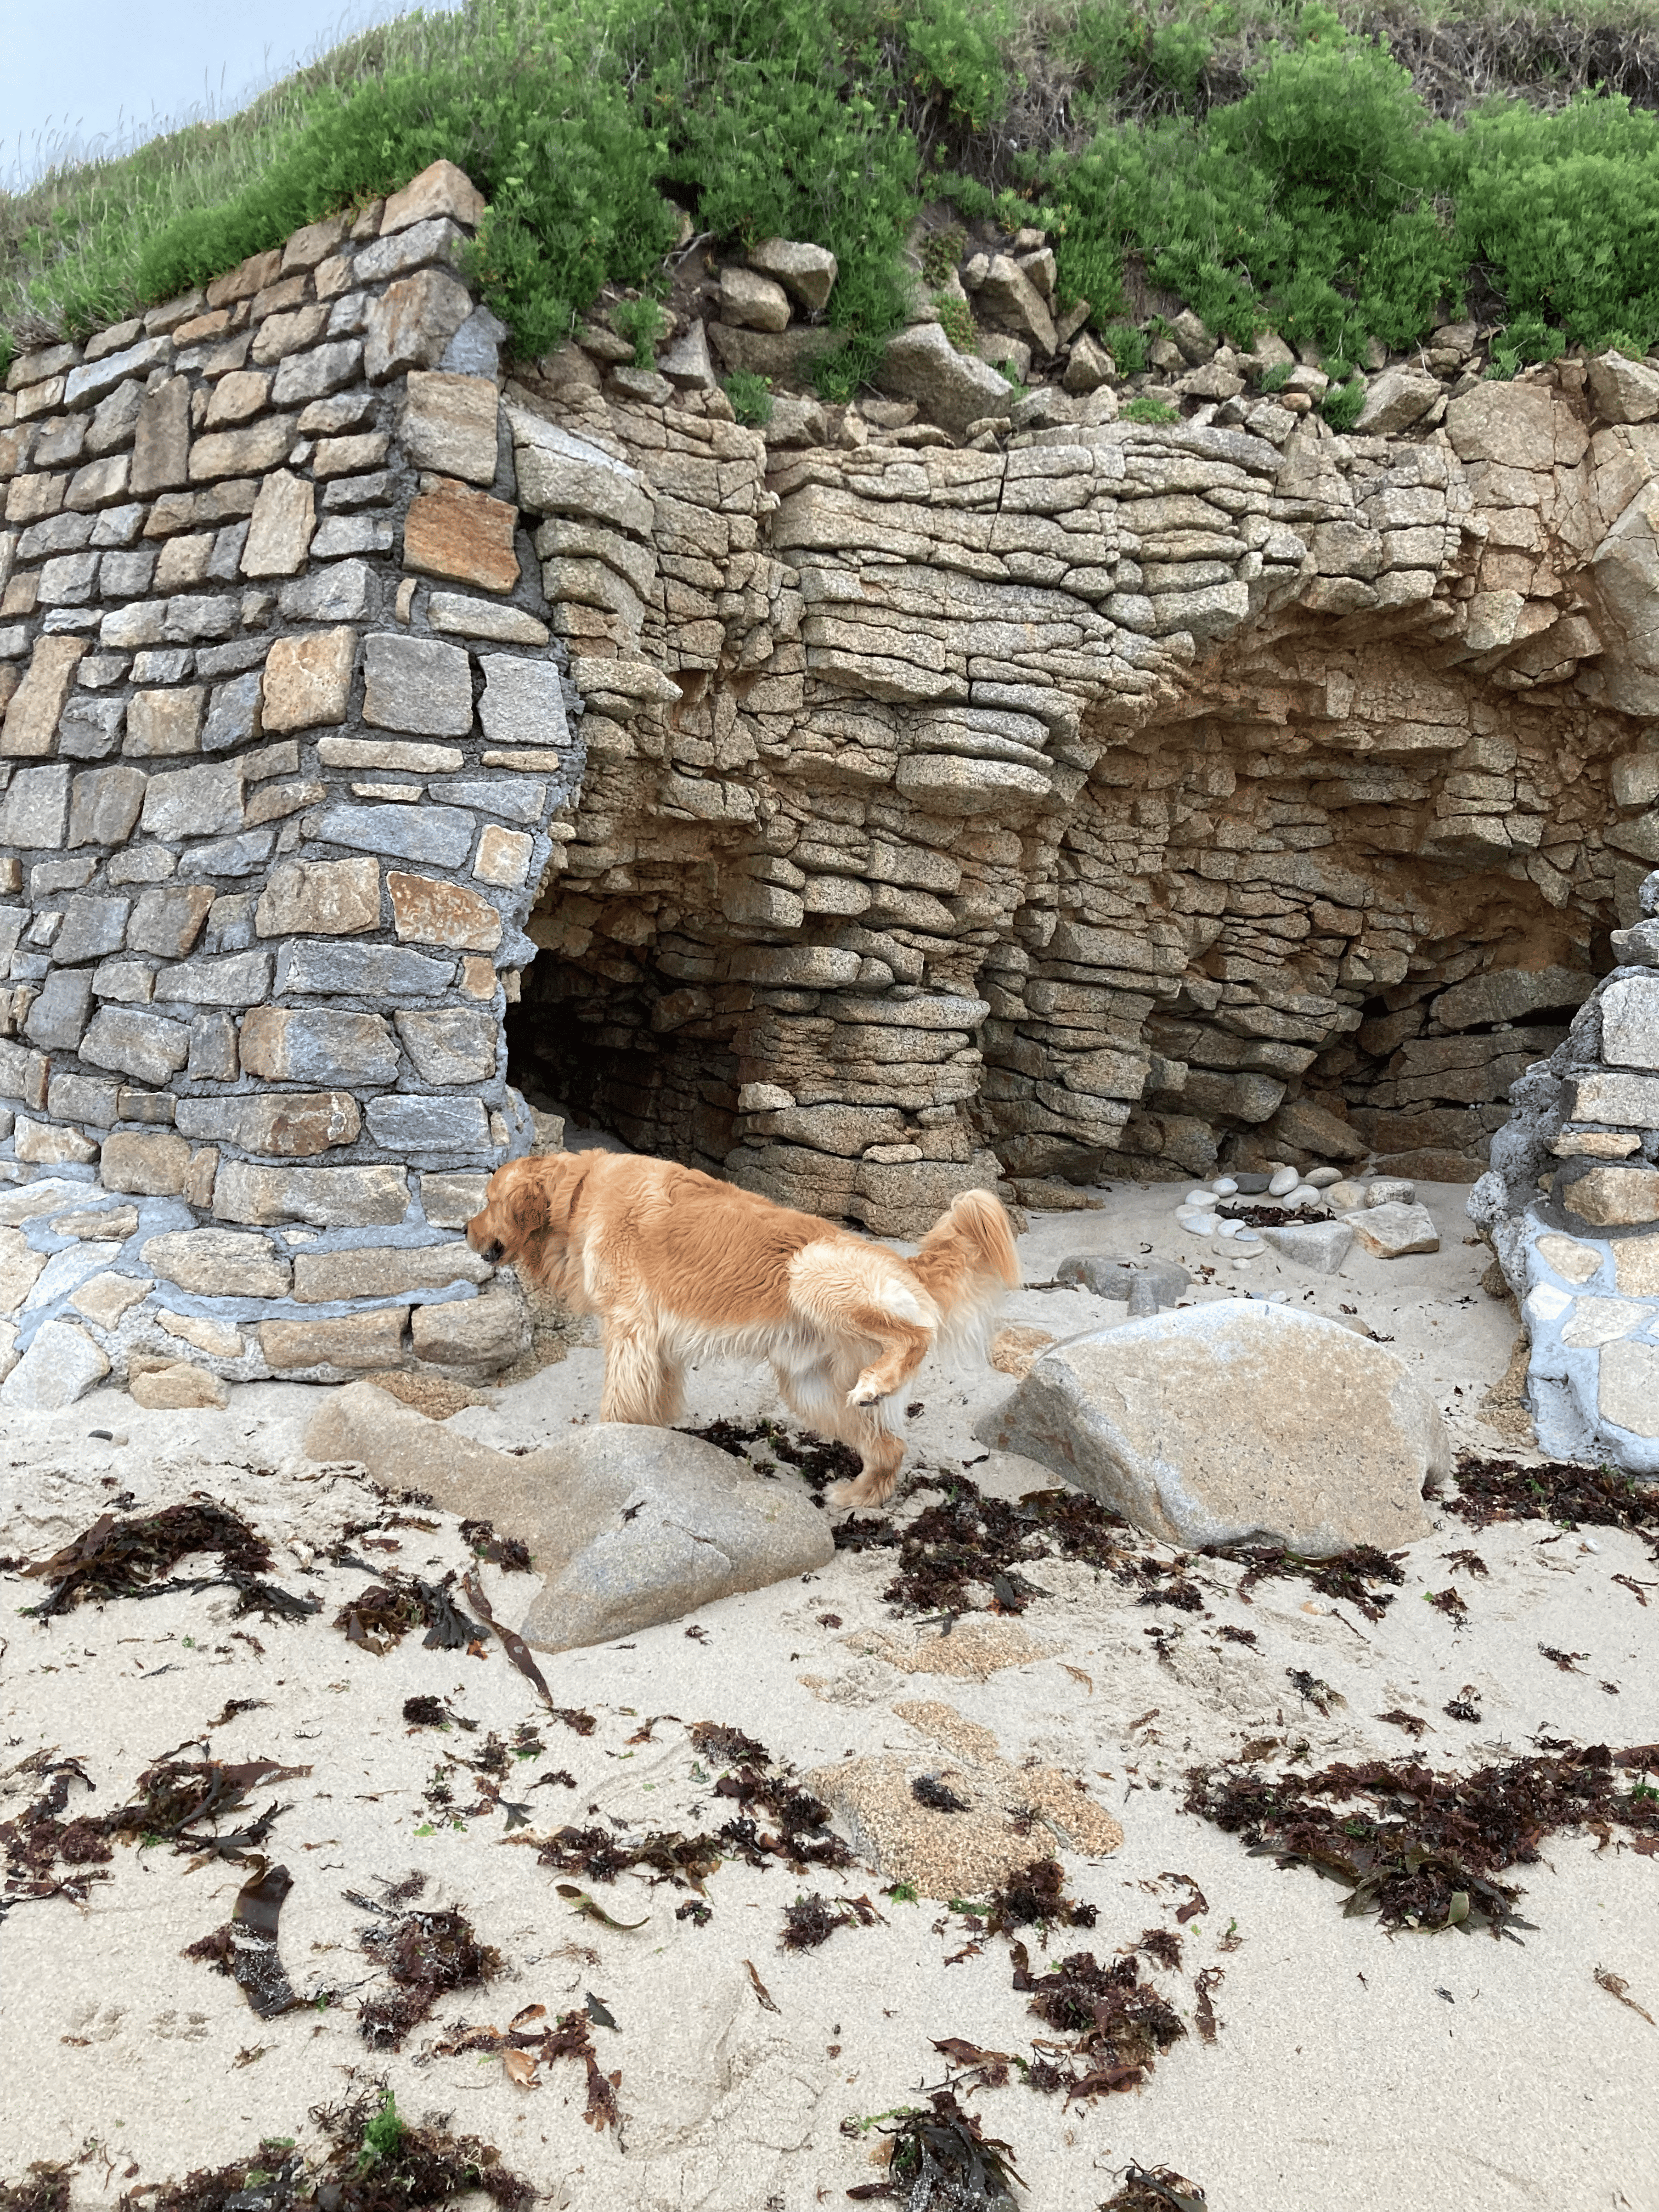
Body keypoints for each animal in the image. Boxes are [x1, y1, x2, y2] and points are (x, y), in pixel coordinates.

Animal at [462, 1159, 1022, 1504]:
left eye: (487, 1199)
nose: (463, 1231)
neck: (577, 1194)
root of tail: (906, 1264)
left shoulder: (628, 1329)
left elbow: (617, 1405)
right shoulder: (657, 1347)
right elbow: (651, 1407)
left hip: (810, 1270)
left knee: (915, 1336)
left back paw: (878, 1383)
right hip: (810, 1388)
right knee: (890, 1448)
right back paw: (857, 1496)